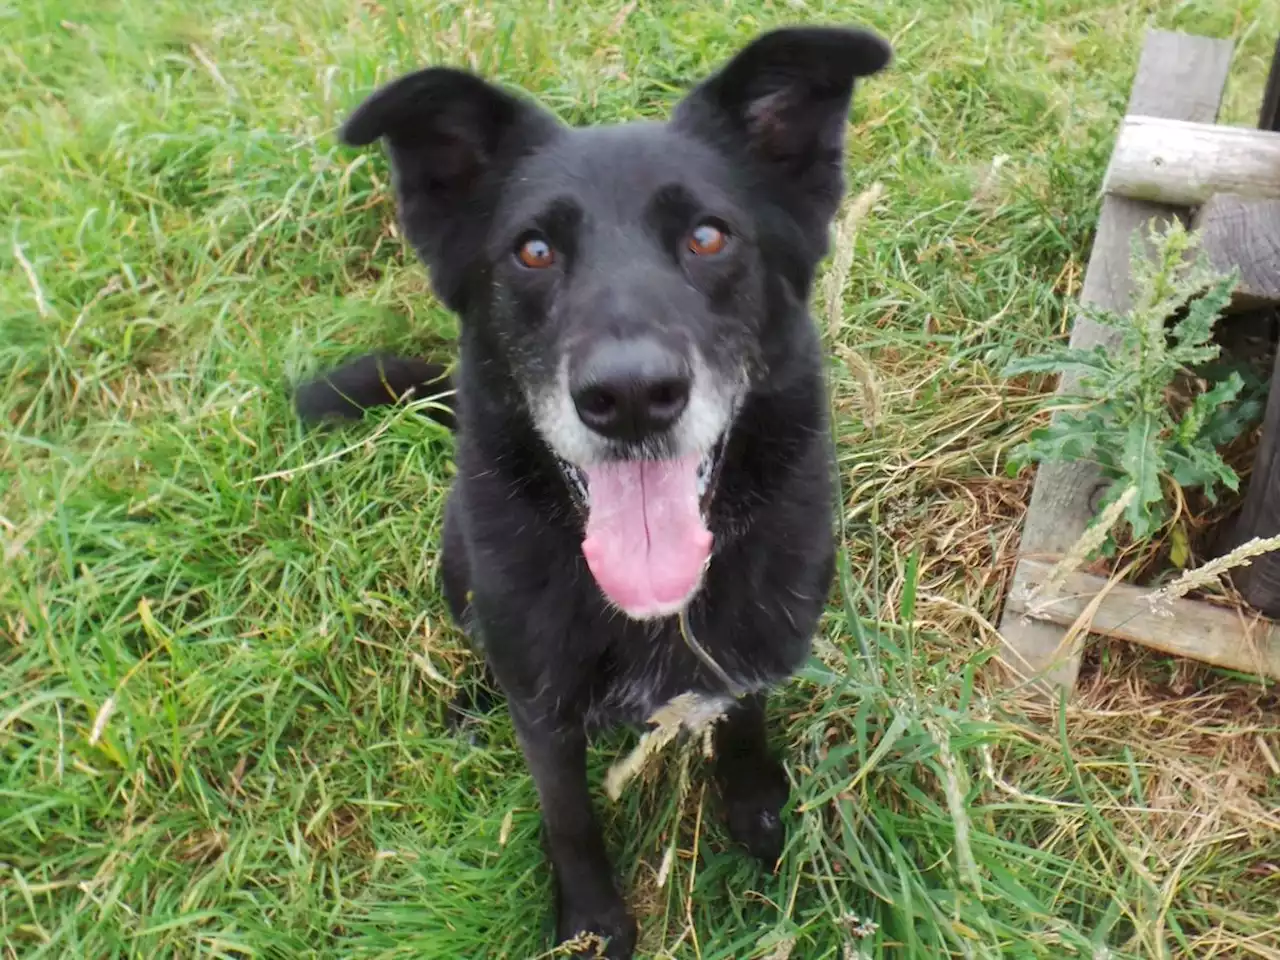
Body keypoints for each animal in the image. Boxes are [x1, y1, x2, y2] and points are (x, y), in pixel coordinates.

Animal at [298, 26, 890, 957]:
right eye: (533, 251)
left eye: (709, 237)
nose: (632, 396)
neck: (650, 610)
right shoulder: (545, 714)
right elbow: (567, 814)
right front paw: (590, 923)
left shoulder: (752, 650)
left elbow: (743, 721)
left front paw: (757, 811)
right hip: (459, 562)